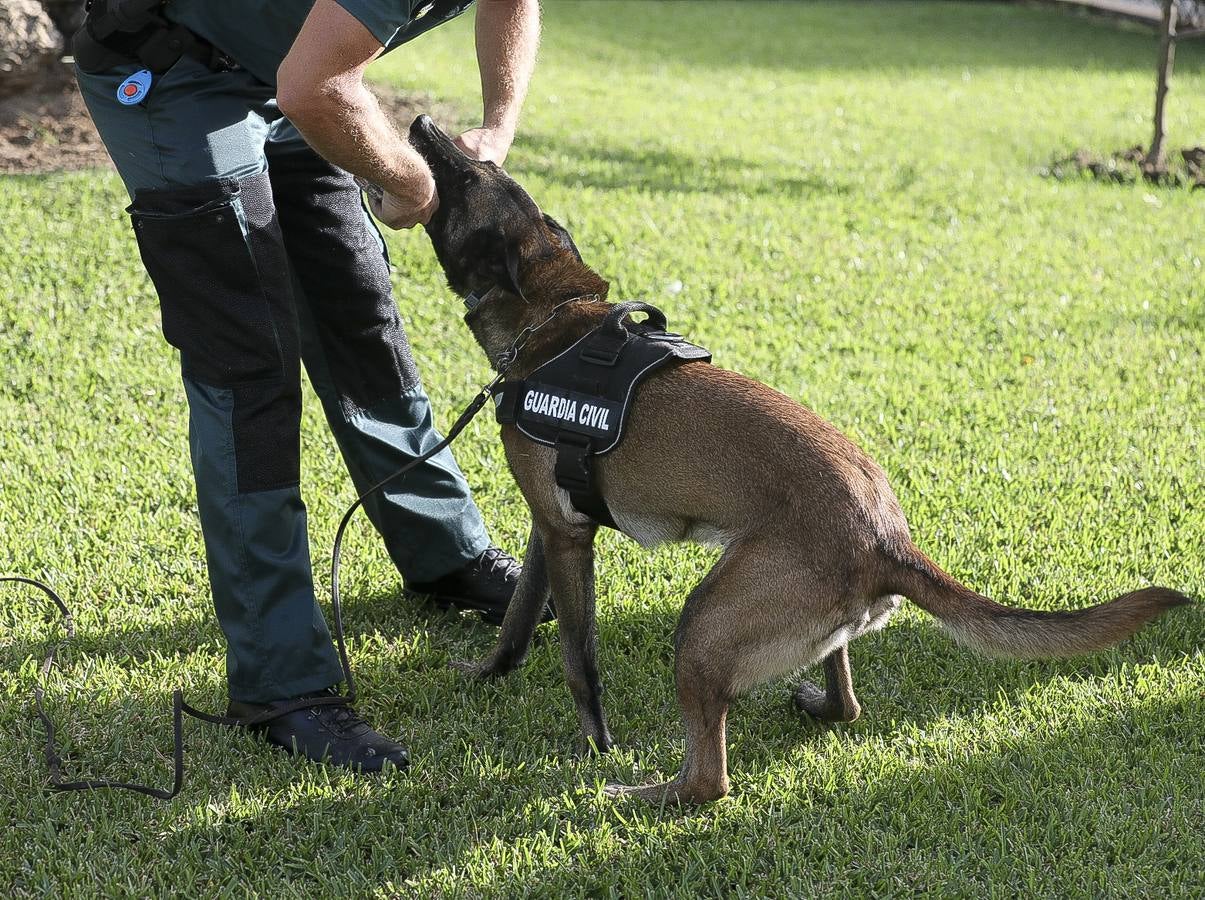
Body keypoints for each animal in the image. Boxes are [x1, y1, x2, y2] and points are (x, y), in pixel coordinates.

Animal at [404, 116, 1185, 804]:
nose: (420, 124)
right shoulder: (549, 528)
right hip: (797, 620)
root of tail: (887, 541)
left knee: (710, 781)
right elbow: (516, 624)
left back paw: (639, 793)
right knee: (846, 705)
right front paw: (486, 672)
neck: (554, 321)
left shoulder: (568, 537)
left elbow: (578, 662)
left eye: (468, 176)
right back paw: (812, 704)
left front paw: (594, 746)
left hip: (705, 623)